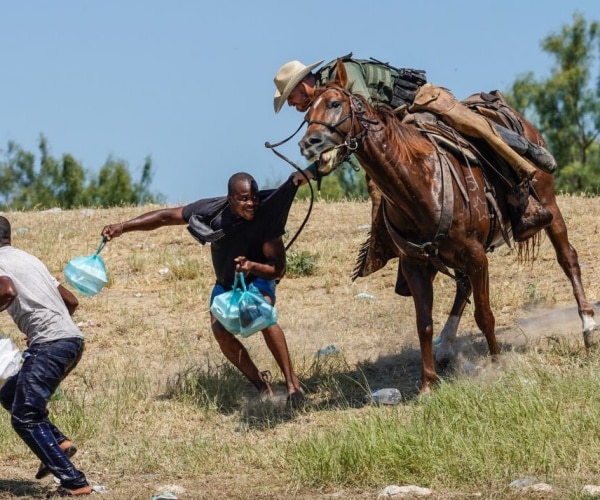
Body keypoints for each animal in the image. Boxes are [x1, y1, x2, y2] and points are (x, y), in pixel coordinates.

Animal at [298, 59, 596, 394]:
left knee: (567, 258)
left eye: (335, 104)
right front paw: (428, 384)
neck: (419, 183)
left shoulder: (476, 255)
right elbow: (424, 323)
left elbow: (484, 314)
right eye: (307, 115)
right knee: (463, 285)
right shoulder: (416, 264)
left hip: (549, 205)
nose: (309, 143)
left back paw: (587, 325)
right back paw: (446, 345)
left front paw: (497, 363)